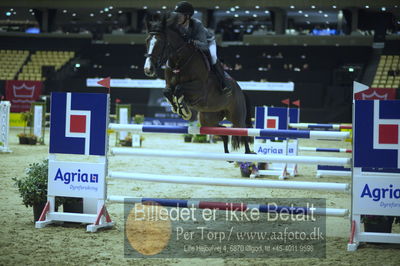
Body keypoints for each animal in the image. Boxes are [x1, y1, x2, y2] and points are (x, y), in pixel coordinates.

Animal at [142, 11, 252, 154]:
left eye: (160, 43)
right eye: (147, 41)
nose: (148, 69)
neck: (180, 61)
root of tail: (240, 90)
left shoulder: (200, 90)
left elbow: (179, 89)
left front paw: (183, 109)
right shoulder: (169, 85)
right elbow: (167, 91)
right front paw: (179, 108)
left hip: (236, 116)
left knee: (243, 132)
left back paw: (249, 155)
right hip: (208, 118)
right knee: (222, 130)